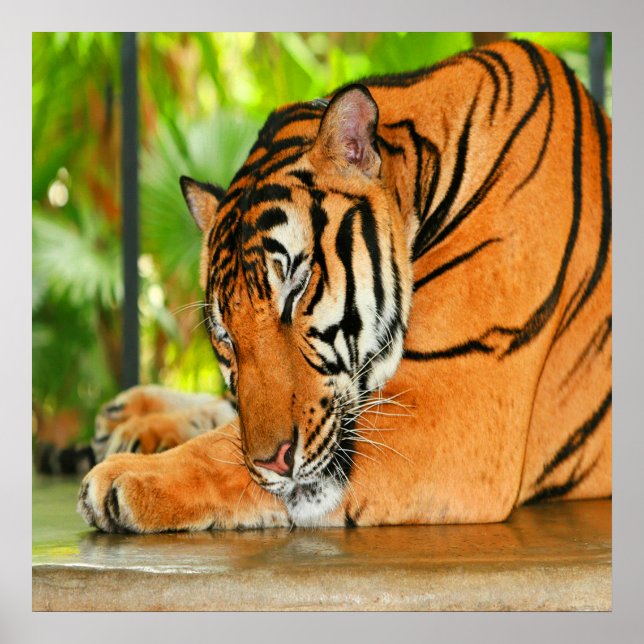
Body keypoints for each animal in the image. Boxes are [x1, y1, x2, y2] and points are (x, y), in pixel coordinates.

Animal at [77, 39, 611, 533]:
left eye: (296, 289)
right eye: (225, 335)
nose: (274, 461)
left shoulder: (454, 409)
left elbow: (225, 451)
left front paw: (126, 478)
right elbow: (233, 431)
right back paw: (126, 413)